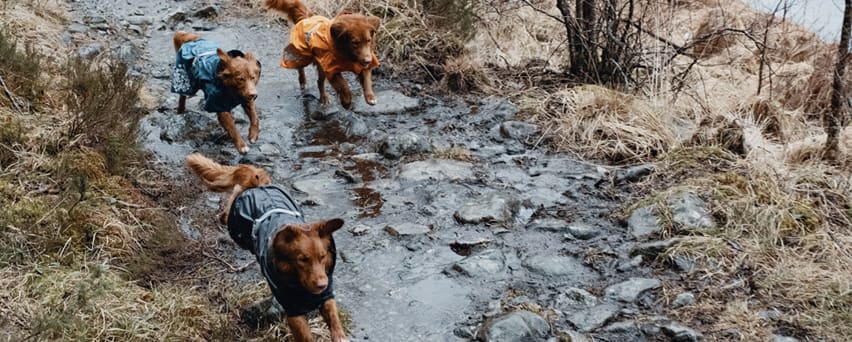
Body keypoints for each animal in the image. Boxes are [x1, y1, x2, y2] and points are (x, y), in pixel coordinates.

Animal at [185, 154, 348, 340]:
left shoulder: (326, 296)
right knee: (230, 203)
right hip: (235, 227)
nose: (322, 284)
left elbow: (334, 319)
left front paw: (340, 335)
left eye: (323, 257)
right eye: (302, 260)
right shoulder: (293, 311)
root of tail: (258, 185)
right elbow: (306, 336)